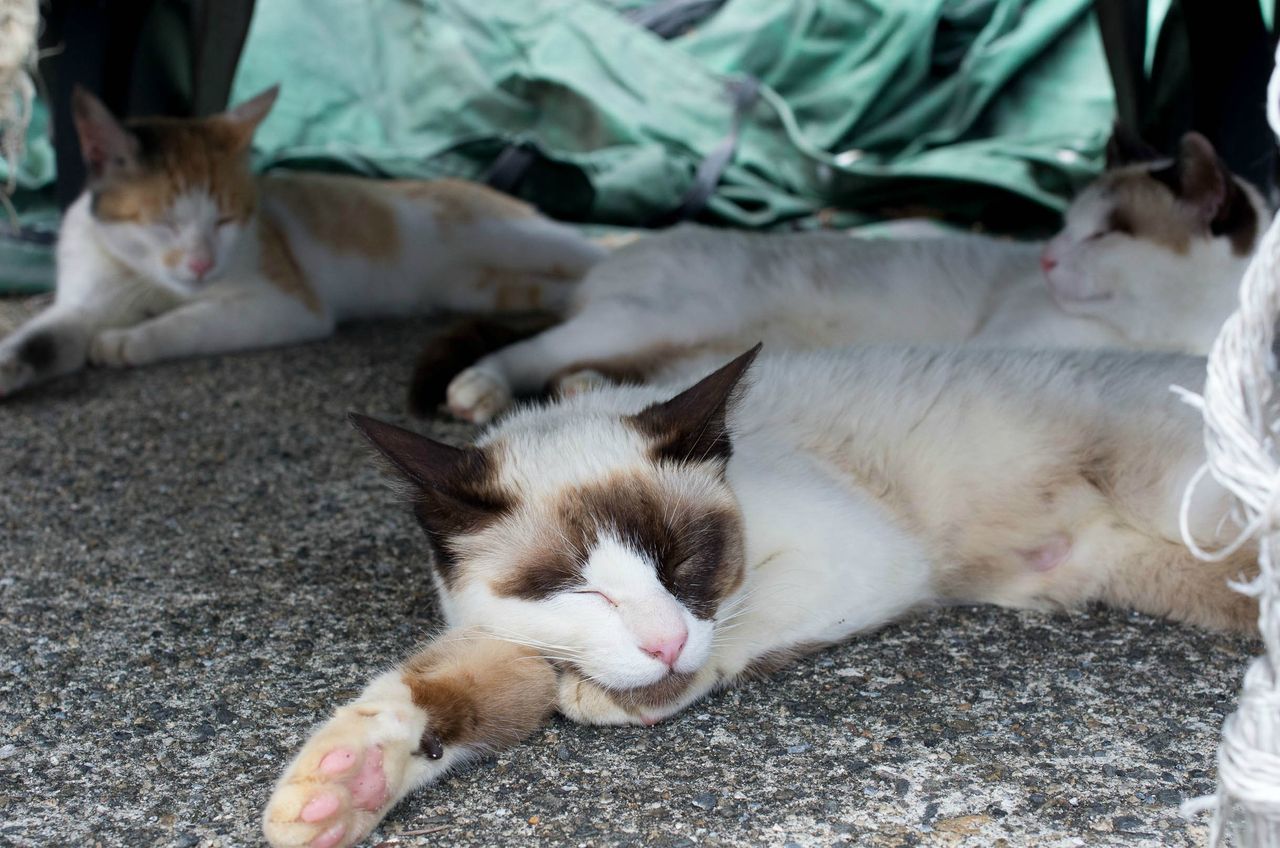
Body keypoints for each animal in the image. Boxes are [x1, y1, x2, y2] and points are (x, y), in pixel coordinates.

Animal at [0, 86, 605, 399]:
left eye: (226, 219)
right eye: (165, 222)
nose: (200, 265)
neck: (146, 276)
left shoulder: (285, 304)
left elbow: (188, 322)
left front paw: (129, 341)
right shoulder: (84, 301)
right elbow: (44, 339)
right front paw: (14, 364)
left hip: (521, 238)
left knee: (598, 253)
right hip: (481, 288)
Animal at [263, 344, 1256, 848]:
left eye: (682, 563)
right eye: (575, 585)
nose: (662, 643)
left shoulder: (861, 556)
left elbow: (734, 628)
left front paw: (627, 694)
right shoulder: (514, 641)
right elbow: (430, 695)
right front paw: (336, 793)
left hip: (1192, 498)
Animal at [418, 129, 1266, 424]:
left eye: (1106, 232)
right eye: (1062, 226)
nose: (1049, 256)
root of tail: (618, 252)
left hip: (674, 347)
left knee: (618, 376)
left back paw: (587, 392)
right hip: (648, 317)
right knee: (533, 351)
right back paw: (481, 390)